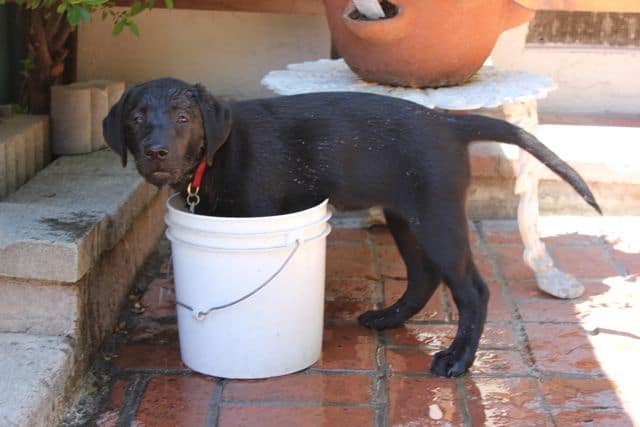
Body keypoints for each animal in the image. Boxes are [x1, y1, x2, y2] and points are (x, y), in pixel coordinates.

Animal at [101, 77, 600, 378]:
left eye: (184, 119)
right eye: (136, 118)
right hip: (406, 215)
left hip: (437, 217)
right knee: (424, 277)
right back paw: (389, 317)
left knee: (472, 290)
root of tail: (449, 123)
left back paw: (458, 360)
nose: (157, 152)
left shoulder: (259, 214)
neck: (216, 155)